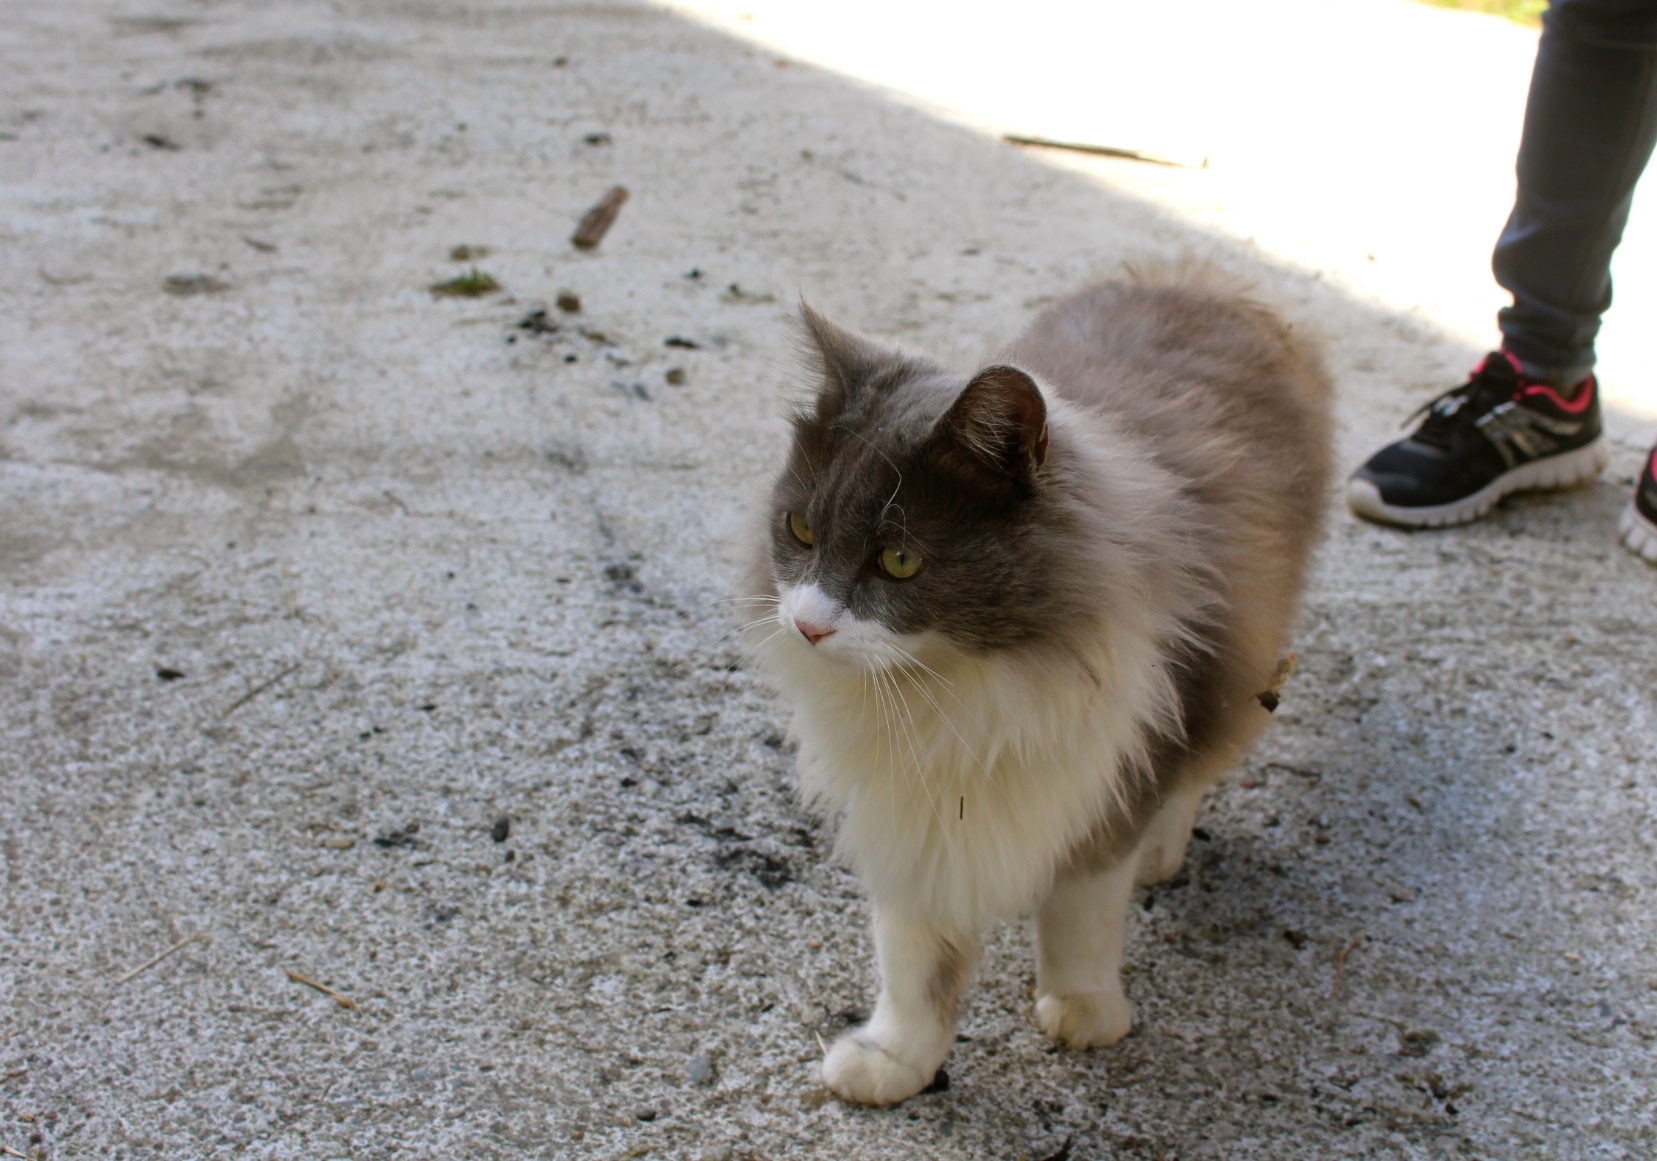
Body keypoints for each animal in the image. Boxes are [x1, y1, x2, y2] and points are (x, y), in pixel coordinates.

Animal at [748, 264, 1332, 1106]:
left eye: (898, 560)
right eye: (800, 530)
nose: (808, 625)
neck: (953, 688)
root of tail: (1198, 277)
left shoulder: (1106, 773)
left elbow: (1079, 917)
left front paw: (1084, 1010)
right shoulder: (915, 813)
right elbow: (915, 961)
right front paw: (895, 1060)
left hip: (1240, 650)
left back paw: (1161, 847)